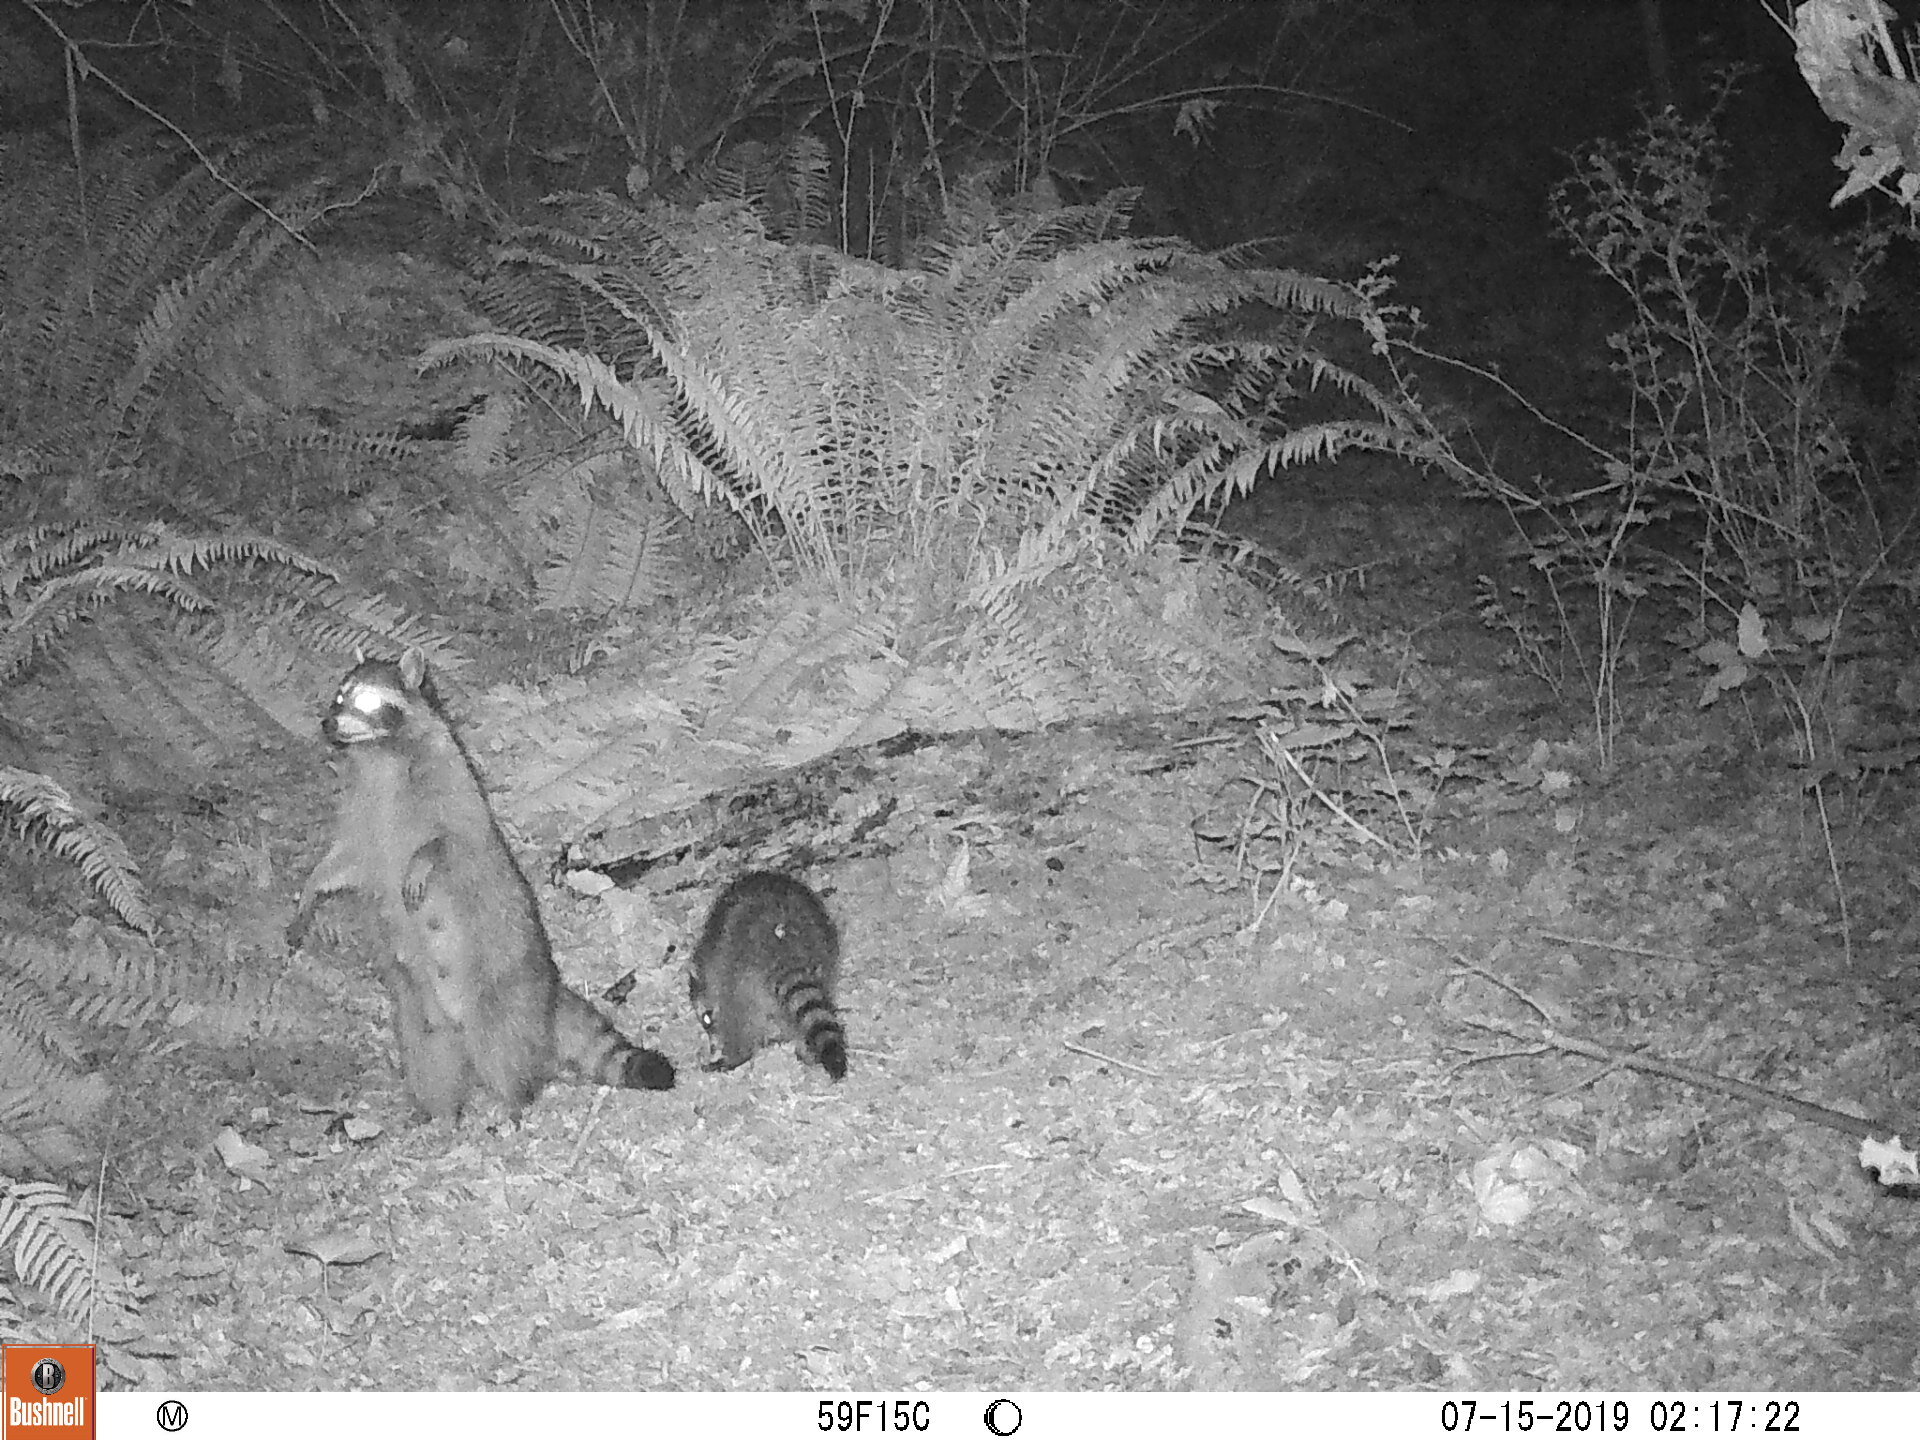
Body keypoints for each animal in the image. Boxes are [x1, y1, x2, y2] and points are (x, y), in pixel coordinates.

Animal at [286, 654, 674, 1119]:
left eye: (368, 701)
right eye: (340, 696)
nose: (327, 723)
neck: (378, 753)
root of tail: (549, 991)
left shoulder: (454, 784)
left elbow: (452, 838)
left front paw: (422, 859)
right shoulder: (360, 820)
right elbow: (342, 861)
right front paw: (310, 892)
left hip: (502, 990)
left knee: (504, 1049)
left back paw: (515, 1103)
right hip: (418, 1013)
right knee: (431, 1059)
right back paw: (439, 1115)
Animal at [688, 871, 847, 1080]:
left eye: (707, 1019)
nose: (713, 1047)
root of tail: (783, 948)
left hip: (736, 983)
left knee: (738, 1027)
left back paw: (736, 1057)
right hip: (825, 958)